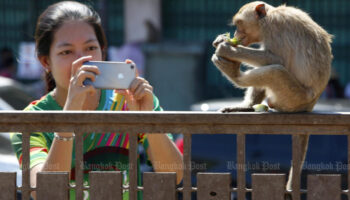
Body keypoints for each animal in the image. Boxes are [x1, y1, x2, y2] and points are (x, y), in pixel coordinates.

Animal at [211, 1, 334, 192]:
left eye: (239, 24)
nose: (236, 34)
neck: (267, 18)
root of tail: (311, 105)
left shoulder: (275, 27)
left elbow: (276, 60)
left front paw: (228, 48)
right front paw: (222, 41)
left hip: (292, 98)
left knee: (275, 70)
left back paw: (235, 75)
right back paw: (247, 107)